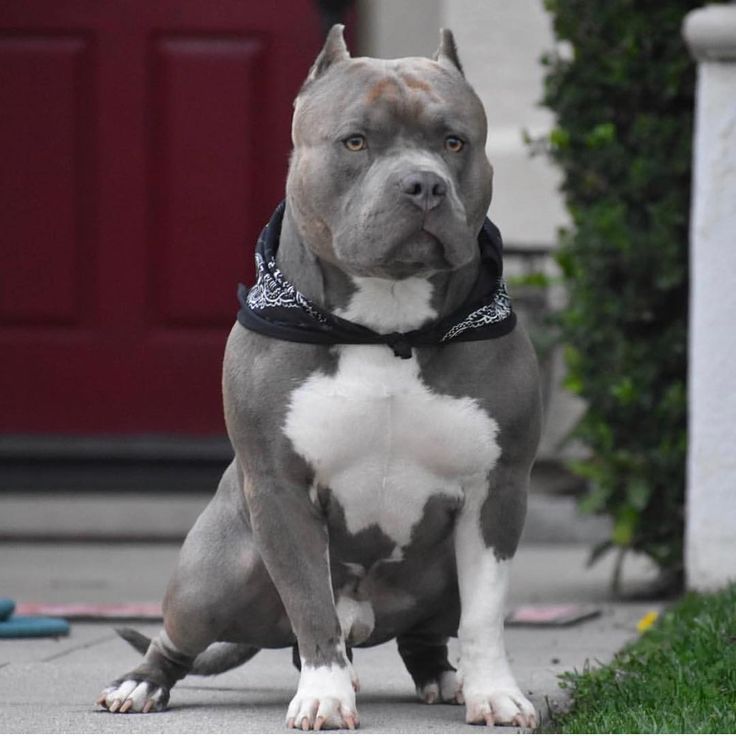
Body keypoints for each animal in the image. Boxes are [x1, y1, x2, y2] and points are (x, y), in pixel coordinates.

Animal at [98, 24, 540, 732]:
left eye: (454, 142)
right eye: (355, 141)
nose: (424, 185)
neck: (387, 330)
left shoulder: (497, 491)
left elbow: (485, 615)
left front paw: (494, 693)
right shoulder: (281, 490)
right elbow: (310, 604)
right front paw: (326, 697)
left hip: (438, 575)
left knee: (424, 635)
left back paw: (442, 678)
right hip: (215, 574)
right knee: (181, 638)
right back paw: (142, 684)